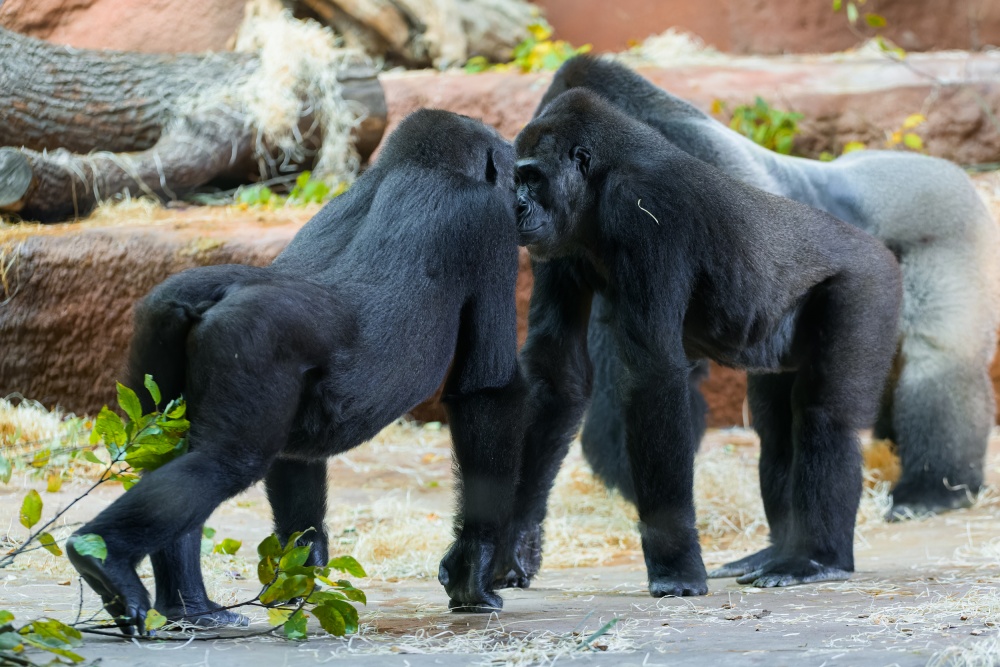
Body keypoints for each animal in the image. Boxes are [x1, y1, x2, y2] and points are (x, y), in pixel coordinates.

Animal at [66, 111, 528, 636]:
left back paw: (189, 607)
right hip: (252, 337)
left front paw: (301, 565)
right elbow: (487, 391)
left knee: (167, 450)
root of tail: (218, 293)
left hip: (158, 319)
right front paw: (475, 565)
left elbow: (296, 461)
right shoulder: (489, 226)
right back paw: (106, 563)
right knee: (225, 461)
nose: (524, 202)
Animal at [504, 90, 904, 600]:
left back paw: (817, 559)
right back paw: (779, 551)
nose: (515, 208)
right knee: (778, 427)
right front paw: (512, 541)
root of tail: (879, 247)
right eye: (516, 179)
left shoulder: (645, 210)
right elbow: (558, 374)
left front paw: (674, 564)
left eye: (532, 178)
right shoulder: (556, 243)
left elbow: (654, 378)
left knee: (825, 417)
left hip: (871, 282)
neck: (600, 183)